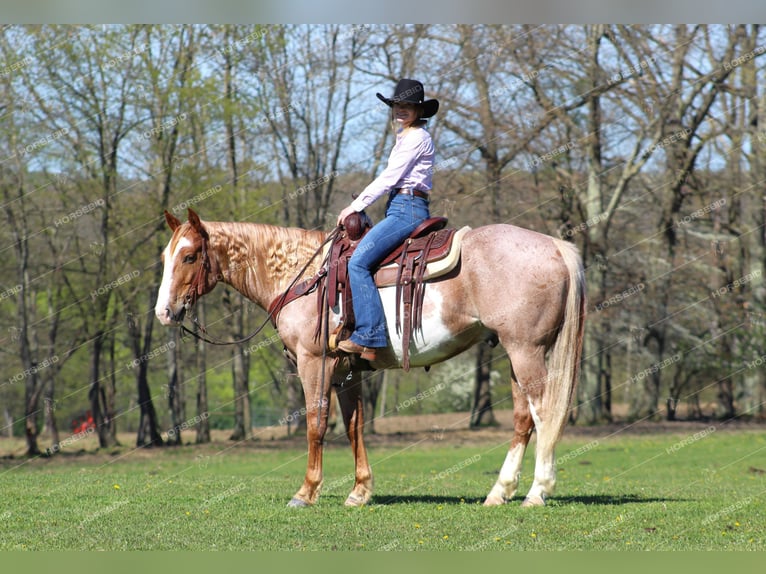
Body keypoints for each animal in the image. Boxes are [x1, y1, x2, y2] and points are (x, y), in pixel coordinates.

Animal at [156, 209, 588, 510]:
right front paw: (360, 492)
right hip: (514, 354)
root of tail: (555, 245)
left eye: (190, 256)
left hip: (526, 351)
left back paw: (537, 492)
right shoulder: (347, 371)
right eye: (166, 256)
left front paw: (306, 492)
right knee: (522, 421)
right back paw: (500, 492)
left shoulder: (313, 363)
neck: (304, 276)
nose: (164, 312)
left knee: (543, 415)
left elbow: (315, 425)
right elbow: (354, 427)